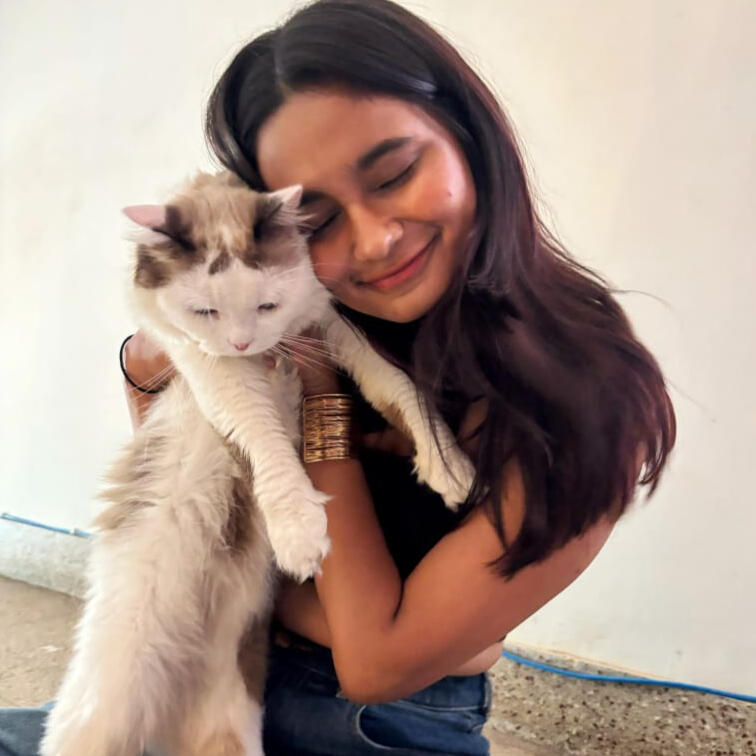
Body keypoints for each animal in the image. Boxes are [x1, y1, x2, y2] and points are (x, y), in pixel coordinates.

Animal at [40, 170, 474, 756]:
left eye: (267, 305)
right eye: (206, 311)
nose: (243, 342)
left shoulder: (322, 322)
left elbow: (397, 383)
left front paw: (447, 465)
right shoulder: (208, 363)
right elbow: (263, 434)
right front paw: (299, 530)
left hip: (234, 725)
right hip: (100, 712)